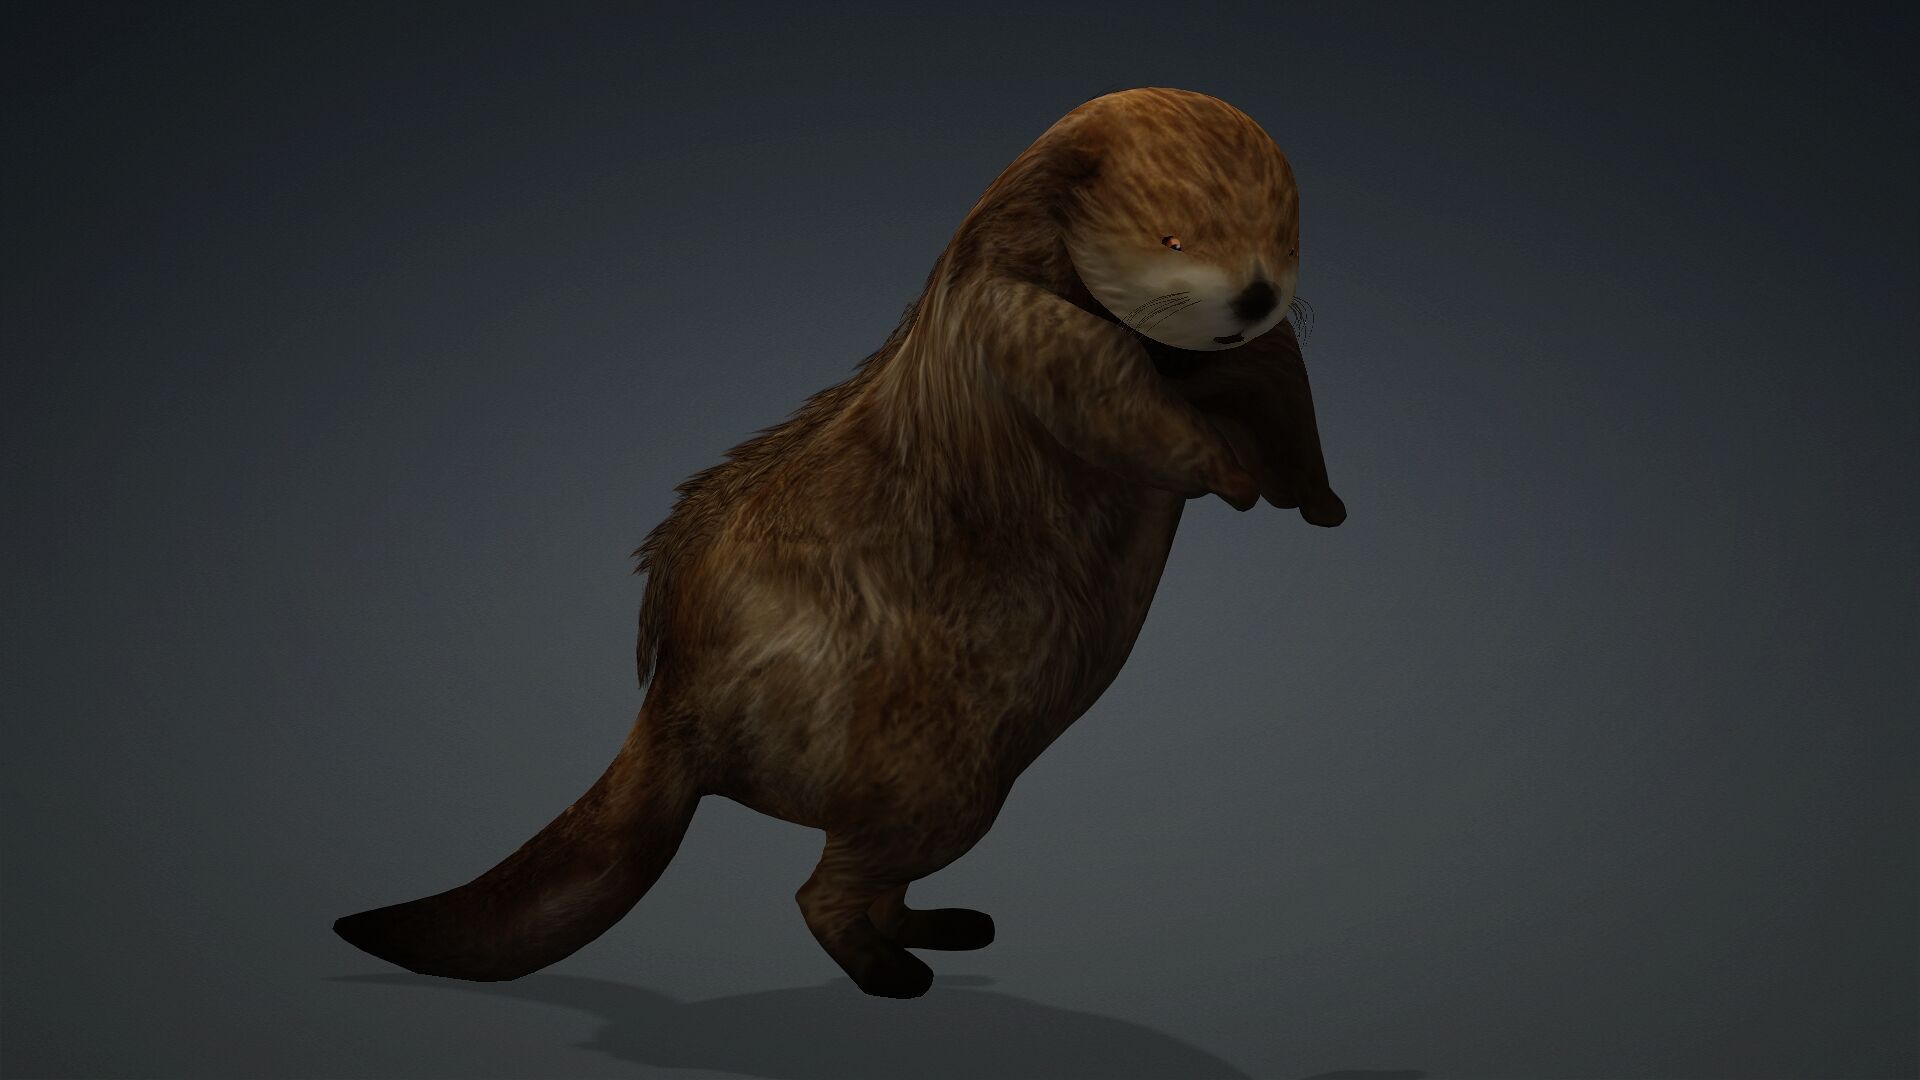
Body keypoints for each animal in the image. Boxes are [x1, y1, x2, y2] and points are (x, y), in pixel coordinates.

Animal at [334, 87, 1345, 999]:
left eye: (1287, 233)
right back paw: (894, 974)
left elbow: (1276, 381)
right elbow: (1117, 401)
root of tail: (671, 716)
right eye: (1174, 238)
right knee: (822, 888)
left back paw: (945, 925)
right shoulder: (1010, 318)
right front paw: (1232, 474)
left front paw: (1318, 499)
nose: (1256, 293)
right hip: (939, 780)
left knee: (870, 882)